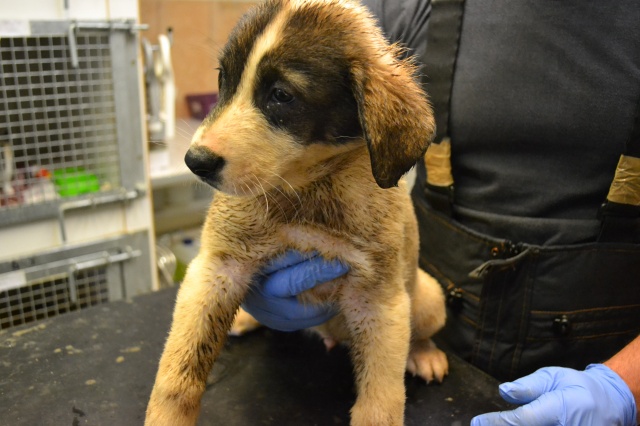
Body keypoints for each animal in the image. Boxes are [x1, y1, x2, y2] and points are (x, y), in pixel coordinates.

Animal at [146, 0, 448, 424]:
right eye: (223, 79)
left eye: (281, 95)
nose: (195, 162)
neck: (304, 194)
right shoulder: (216, 268)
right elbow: (178, 373)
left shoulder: (379, 301)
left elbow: (382, 399)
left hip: (427, 297)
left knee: (420, 331)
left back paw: (424, 354)